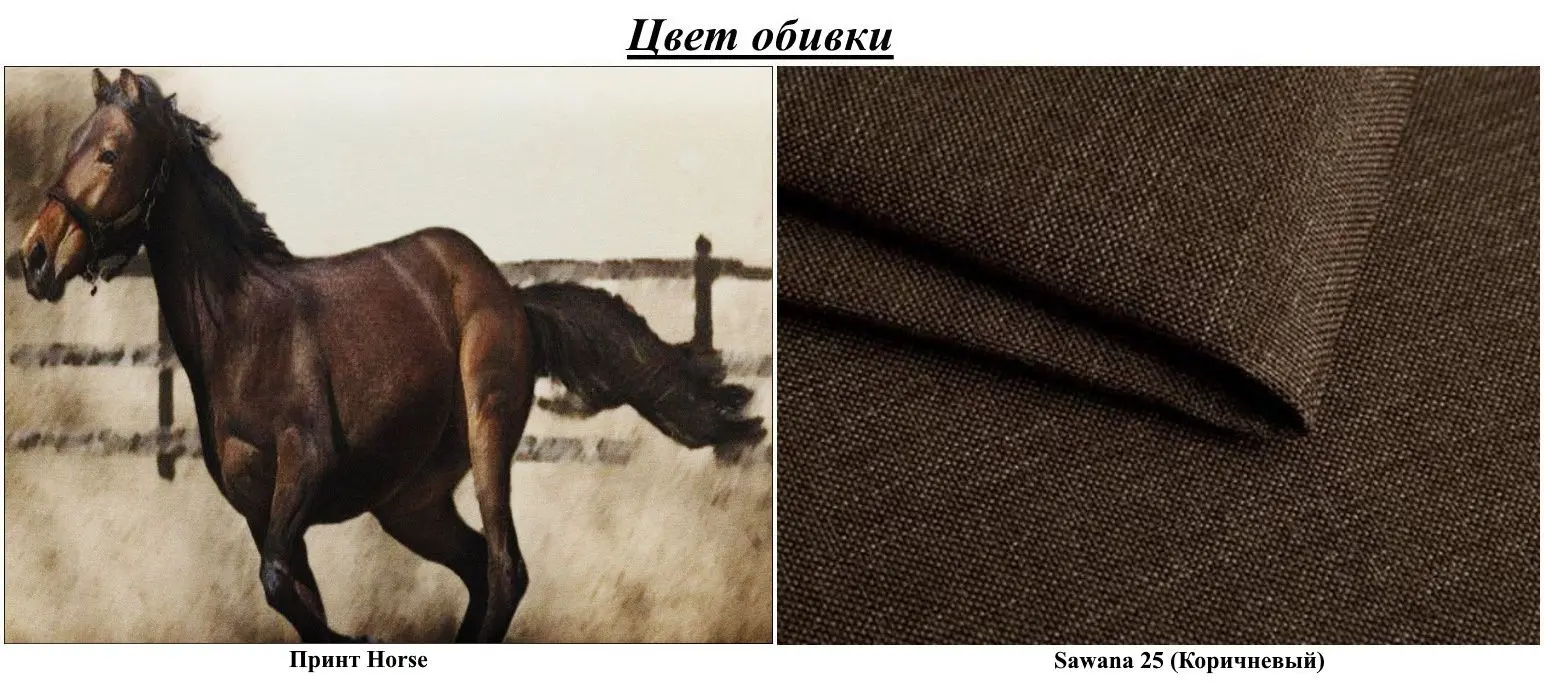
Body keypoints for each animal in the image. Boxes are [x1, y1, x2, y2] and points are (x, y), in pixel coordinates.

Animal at [15, 69, 765, 643]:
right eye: (72, 144)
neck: (244, 331)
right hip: (412, 502)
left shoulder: (306, 465)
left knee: (506, 569)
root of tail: (510, 295)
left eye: (110, 152)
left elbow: (280, 586)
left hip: (487, 430)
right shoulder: (260, 511)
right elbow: (292, 595)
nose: (35, 257)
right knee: (476, 567)